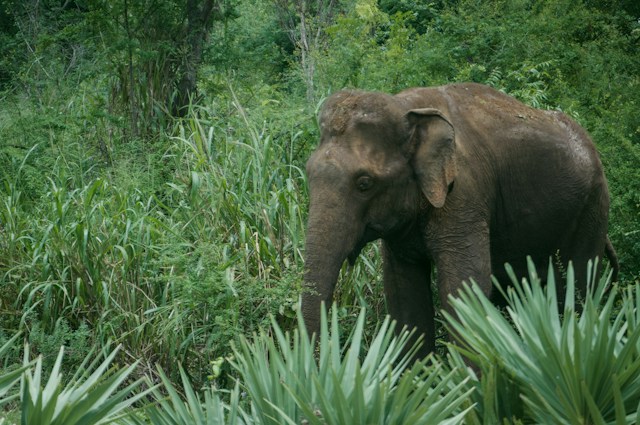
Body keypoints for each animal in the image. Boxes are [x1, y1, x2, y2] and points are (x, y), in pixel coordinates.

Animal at [302, 83, 616, 354]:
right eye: (308, 172)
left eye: (364, 183)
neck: (407, 107)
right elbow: (404, 295)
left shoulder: (464, 196)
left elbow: (465, 289)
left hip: (594, 207)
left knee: (577, 287)